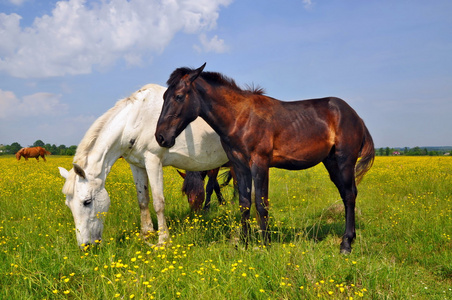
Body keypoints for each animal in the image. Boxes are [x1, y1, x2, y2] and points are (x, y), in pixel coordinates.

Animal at [155, 63, 374, 253]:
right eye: (164, 96)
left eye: (179, 96)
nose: (161, 137)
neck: (241, 117)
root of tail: (356, 116)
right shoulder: (239, 165)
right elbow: (244, 203)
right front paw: (244, 243)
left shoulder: (259, 163)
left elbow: (261, 203)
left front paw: (265, 244)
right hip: (331, 163)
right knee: (347, 194)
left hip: (344, 162)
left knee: (349, 195)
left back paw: (346, 244)